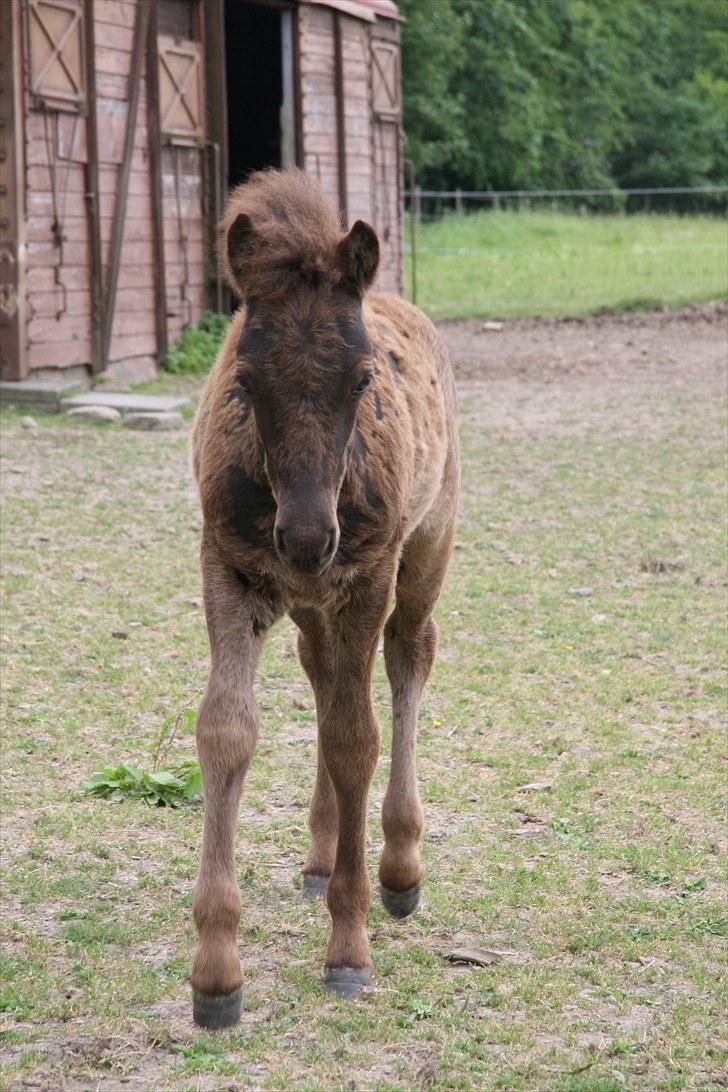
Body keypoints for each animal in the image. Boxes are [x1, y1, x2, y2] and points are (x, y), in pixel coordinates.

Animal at [189, 168, 460, 1022]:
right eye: (244, 381)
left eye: (364, 379)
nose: (308, 538)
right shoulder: (229, 568)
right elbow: (227, 729)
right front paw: (216, 971)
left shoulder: (366, 576)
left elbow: (355, 740)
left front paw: (348, 948)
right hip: (309, 601)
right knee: (321, 673)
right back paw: (317, 854)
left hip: (425, 548)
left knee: (409, 655)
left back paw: (400, 867)